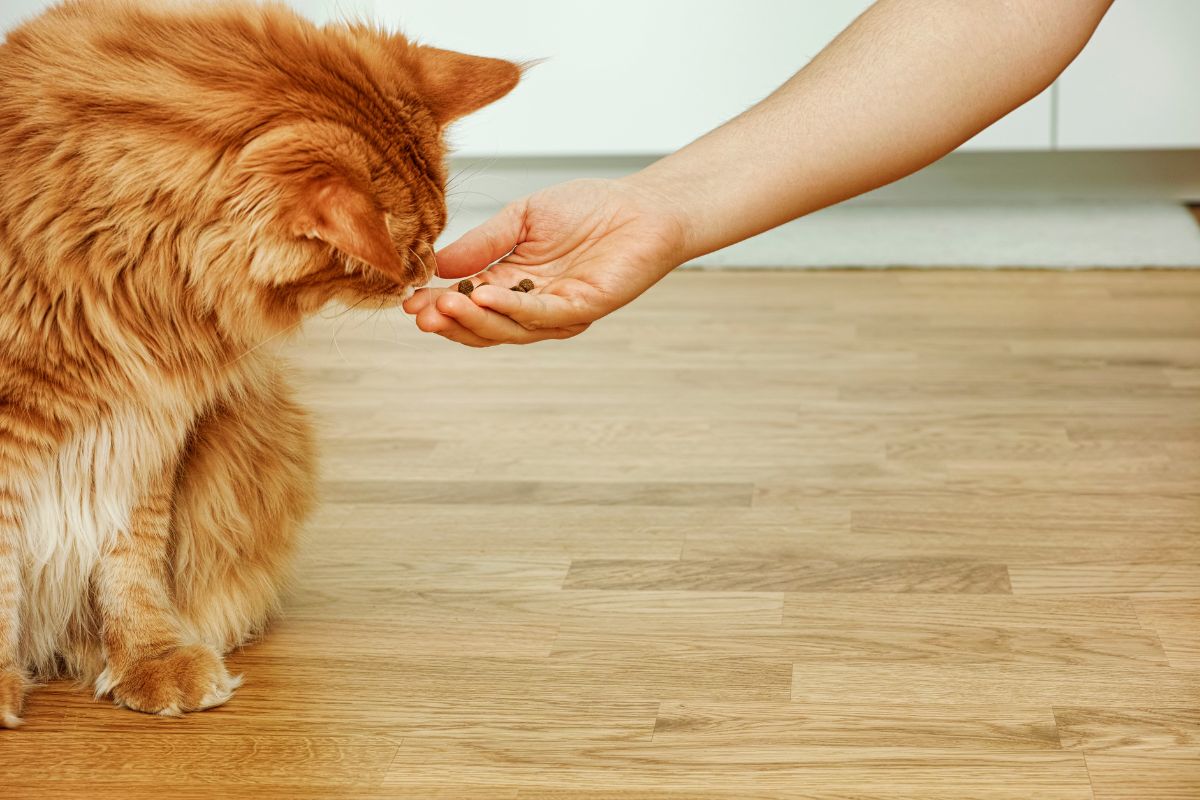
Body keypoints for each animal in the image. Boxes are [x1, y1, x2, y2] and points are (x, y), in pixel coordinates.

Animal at [0, 0, 516, 724]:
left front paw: (153, 658)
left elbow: (130, 561)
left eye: (434, 243)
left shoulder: (146, 427)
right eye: (407, 253)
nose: (424, 274)